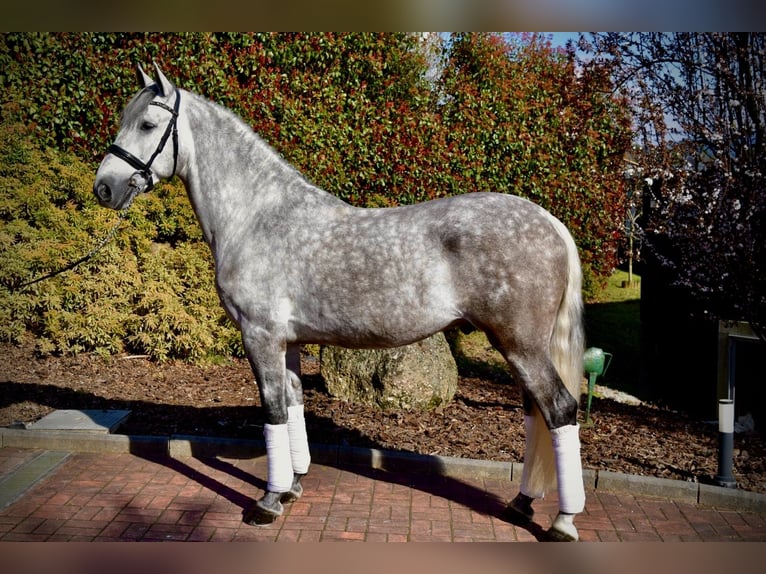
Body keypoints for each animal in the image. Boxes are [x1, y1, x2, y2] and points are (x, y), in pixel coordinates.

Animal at [93, 63, 586, 541]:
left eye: (148, 123)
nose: (104, 188)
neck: (258, 216)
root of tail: (549, 221)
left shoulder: (260, 336)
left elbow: (273, 410)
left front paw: (267, 503)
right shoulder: (288, 342)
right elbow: (293, 405)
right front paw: (291, 487)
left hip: (520, 345)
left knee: (560, 410)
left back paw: (563, 522)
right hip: (519, 348)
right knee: (537, 413)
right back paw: (522, 502)